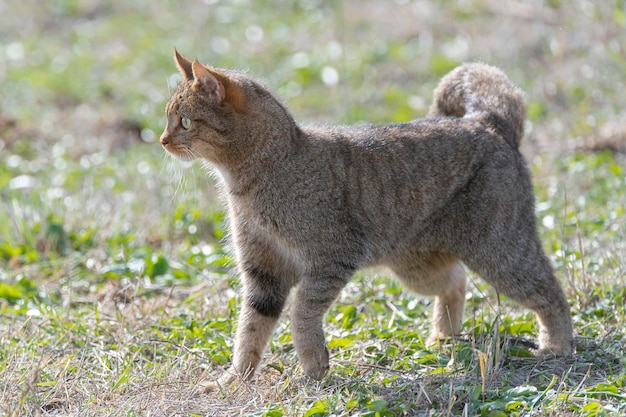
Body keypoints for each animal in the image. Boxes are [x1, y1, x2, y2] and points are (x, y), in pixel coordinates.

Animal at [160, 49, 572, 390]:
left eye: (184, 121)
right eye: (168, 119)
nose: (161, 140)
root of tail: (488, 119)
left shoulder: (333, 257)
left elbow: (301, 314)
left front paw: (313, 368)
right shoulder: (264, 273)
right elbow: (249, 331)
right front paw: (232, 380)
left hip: (501, 253)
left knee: (551, 291)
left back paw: (556, 346)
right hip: (417, 267)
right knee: (457, 282)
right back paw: (442, 338)